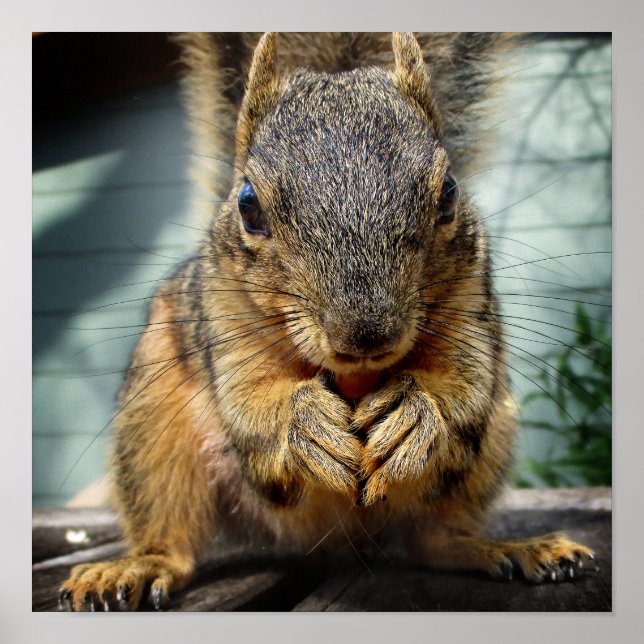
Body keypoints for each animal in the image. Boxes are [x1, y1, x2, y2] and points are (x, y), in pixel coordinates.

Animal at [59, 32, 596, 612]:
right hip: (152, 428)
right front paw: (302, 423)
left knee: (435, 539)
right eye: (248, 205)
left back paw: (509, 548)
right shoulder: (223, 316)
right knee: (170, 533)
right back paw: (133, 566)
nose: (366, 334)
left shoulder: (471, 300)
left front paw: (417, 413)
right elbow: (249, 398)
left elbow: (463, 382)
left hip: (482, 456)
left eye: (449, 191)